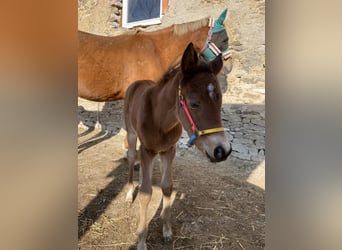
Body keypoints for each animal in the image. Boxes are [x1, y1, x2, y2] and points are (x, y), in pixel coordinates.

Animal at [124, 43, 231, 248]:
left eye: (219, 98)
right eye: (194, 103)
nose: (222, 151)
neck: (160, 120)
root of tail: (136, 83)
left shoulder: (168, 151)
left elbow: (167, 187)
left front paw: (167, 231)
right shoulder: (148, 150)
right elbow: (146, 194)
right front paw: (141, 240)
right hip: (131, 134)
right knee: (132, 157)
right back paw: (129, 193)